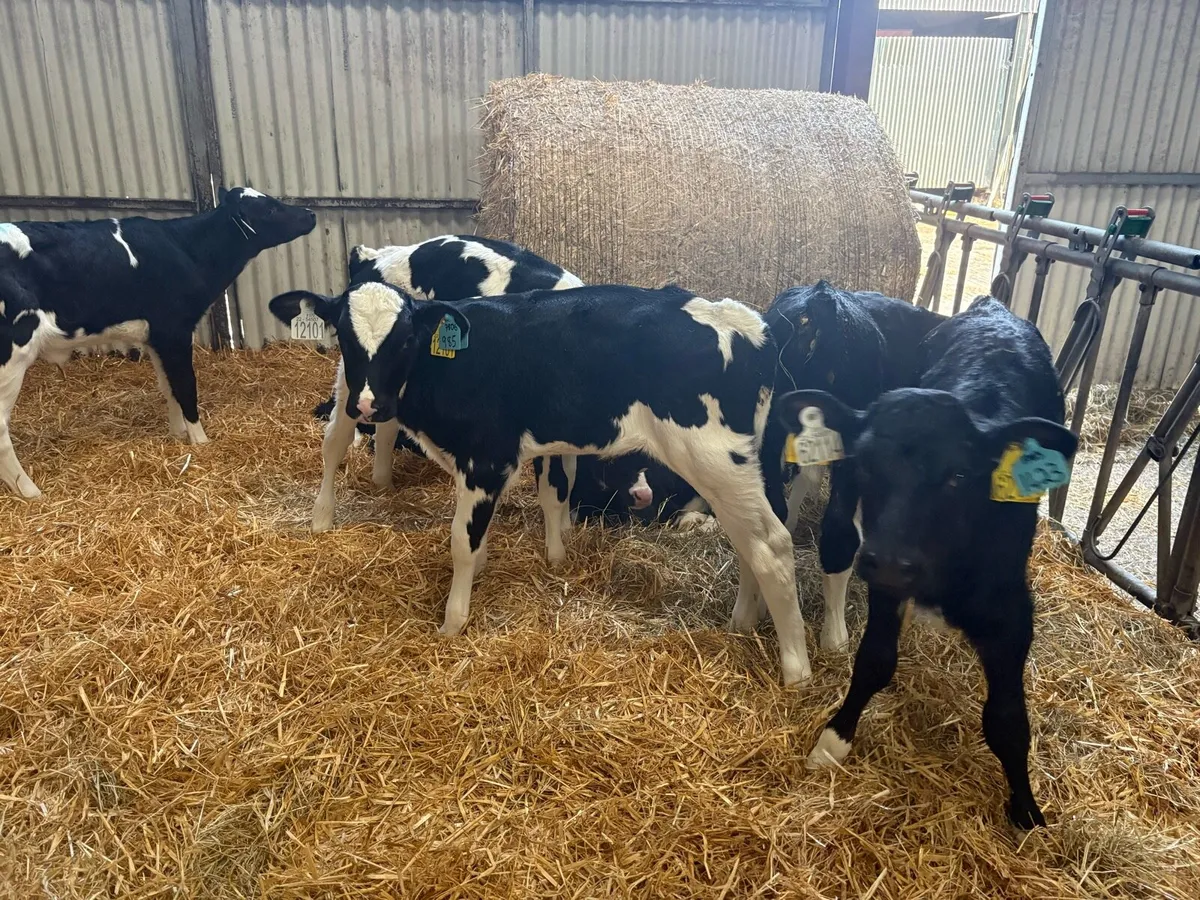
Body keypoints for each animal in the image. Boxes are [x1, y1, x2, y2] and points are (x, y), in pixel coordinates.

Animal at [0, 188, 315, 497]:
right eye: (271, 209)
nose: (310, 214)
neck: (187, 249)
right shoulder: (175, 330)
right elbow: (186, 386)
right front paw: (200, 440)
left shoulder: (157, 337)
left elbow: (169, 387)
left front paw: (177, 434)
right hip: (12, 356)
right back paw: (30, 491)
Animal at [269, 279, 812, 686]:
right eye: (343, 335)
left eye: (404, 340)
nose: (366, 405)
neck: (452, 367)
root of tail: (744, 321)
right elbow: (480, 534)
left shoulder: (486, 459)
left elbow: (462, 540)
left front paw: (452, 622)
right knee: (748, 542)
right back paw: (742, 623)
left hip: (714, 458)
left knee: (771, 544)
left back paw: (796, 669)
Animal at [776, 296, 1077, 829]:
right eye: (867, 462)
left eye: (959, 475)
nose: (892, 561)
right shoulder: (886, 582)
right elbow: (873, 661)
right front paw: (834, 741)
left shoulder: (1012, 611)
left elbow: (1007, 718)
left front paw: (1026, 810)